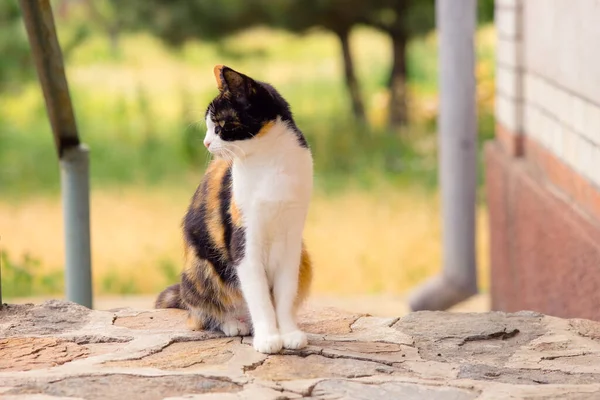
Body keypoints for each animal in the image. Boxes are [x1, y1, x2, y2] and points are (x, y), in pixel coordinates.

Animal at [155, 65, 314, 354]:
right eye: (208, 127)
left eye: (219, 126)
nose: (206, 143)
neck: (268, 162)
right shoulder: (244, 241)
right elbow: (260, 298)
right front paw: (268, 338)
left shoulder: (292, 240)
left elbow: (285, 294)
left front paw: (288, 333)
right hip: (200, 269)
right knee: (199, 315)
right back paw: (232, 324)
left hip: (305, 257)